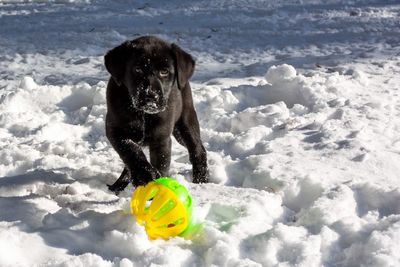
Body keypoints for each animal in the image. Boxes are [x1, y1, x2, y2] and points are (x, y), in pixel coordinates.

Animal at [103, 36, 209, 195]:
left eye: (164, 71)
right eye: (138, 69)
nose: (151, 95)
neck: (143, 115)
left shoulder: (161, 139)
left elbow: (161, 163)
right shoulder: (115, 131)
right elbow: (130, 151)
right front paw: (145, 176)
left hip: (185, 124)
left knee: (197, 149)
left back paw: (201, 180)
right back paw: (119, 185)